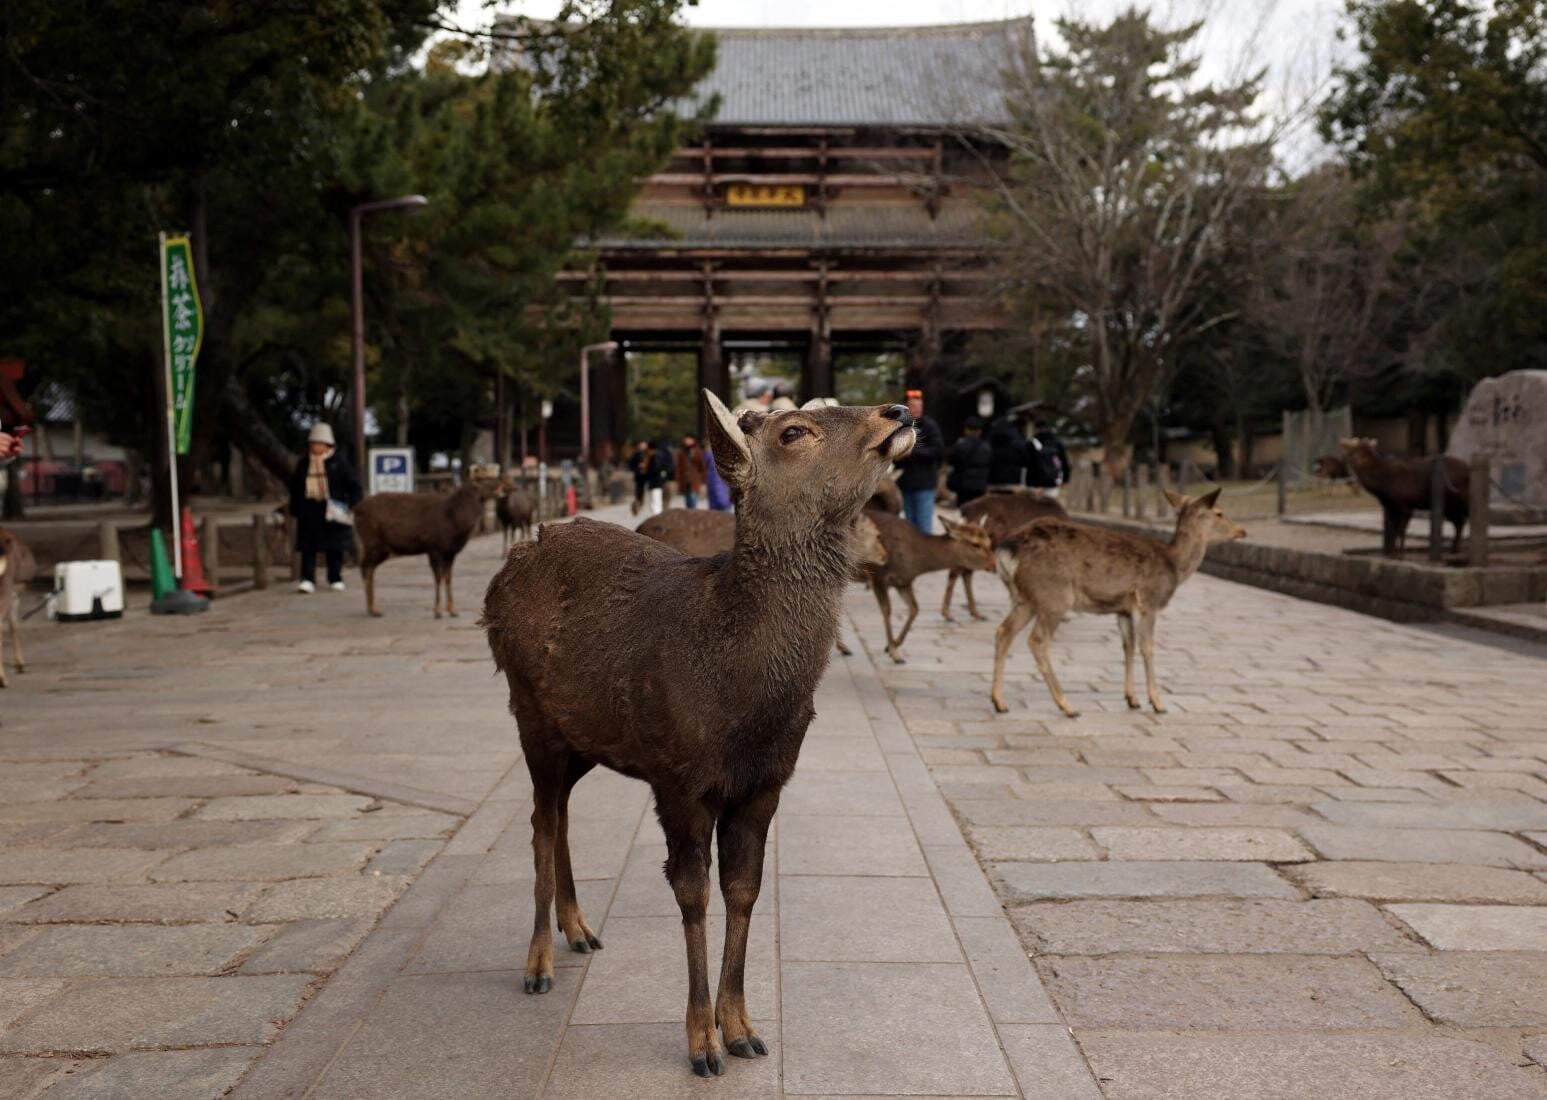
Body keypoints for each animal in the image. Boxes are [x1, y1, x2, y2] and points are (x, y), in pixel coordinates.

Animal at [354, 469, 503, 618]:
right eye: (482, 479)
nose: (501, 486)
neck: (455, 523)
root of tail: (356, 510)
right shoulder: (434, 547)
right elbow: (438, 578)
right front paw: (437, 611)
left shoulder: (450, 552)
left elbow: (448, 578)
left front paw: (452, 610)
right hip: (372, 541)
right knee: (365, 567)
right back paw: (373, 609)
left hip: (381, 548)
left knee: (369, 569)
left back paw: (372, 608)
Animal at [482, 391, 914, 1078]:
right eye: (795, 430)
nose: (896, 410)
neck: (743, 701)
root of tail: (501, 577)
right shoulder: (679, 779)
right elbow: (692, 894)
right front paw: (701, 1044)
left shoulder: (767, 783)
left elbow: (744, 890)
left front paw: (742, 1029)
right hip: (529, 714)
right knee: (541, 821)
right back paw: (539, 963)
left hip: (586, 738)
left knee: (561, 814)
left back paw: (580, 930)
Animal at [862, 508, 994, 663]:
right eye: (975, 544)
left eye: (989, 542)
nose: (994, 565)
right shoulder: (878, 576)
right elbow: (887, 610)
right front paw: (895, 654)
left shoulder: (903, 582)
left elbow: (914, 609)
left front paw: (891, 646)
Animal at [990, 489, 1245, 718]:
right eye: (1220, 513)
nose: (1242, 531)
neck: (1175, 566)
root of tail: (1007, 549)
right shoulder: (1149, 601)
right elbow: (1147, 647)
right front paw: (1157, 703)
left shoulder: (1123, 610)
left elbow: (1127, 645)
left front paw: (1132, 699)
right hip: (1054, 595)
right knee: (1037, 640)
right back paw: (1067, 706)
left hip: (1025, 598)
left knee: (1004, 630)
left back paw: (999, 702)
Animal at [1338, 438, 1469, 556]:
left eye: (1354, 449)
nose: (1342, 442)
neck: (1383, 488)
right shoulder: (1391, 507)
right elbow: (1396, 530)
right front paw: (1393, 553)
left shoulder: (1405, 504)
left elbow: (1401, 530)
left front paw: (1401, 554)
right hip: (1450, 506)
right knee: (1460, 521)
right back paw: (1454, 550)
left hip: (1461, 500)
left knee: (1465, 518)